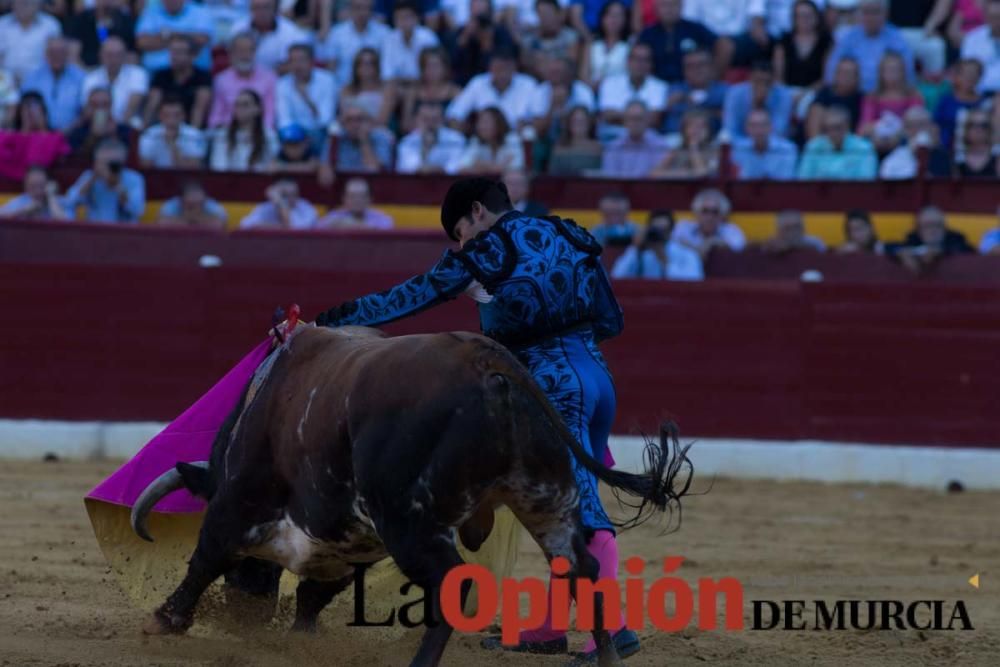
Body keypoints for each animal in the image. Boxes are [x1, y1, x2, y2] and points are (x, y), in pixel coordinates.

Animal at [129, 326, 692, 664]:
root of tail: (490, 361)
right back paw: (608, 657)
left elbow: (207, 553)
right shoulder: (351, 538)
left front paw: (164, 619)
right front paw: (301, 634)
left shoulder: (240, 501)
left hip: (412, 521)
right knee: (581, 568)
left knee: (451, 584)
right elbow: (317, 589)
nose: (245, 615)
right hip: (546, 497)